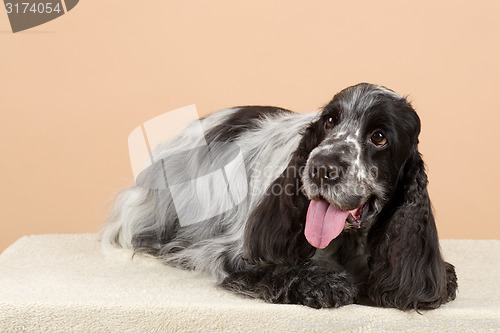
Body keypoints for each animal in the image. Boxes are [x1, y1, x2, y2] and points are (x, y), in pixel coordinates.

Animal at [100, 82, 458, 308]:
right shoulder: (230, 252)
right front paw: (324, 283)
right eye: (329, 121)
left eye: (379, 137)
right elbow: (278, 267)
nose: (321, 168)